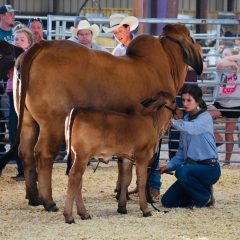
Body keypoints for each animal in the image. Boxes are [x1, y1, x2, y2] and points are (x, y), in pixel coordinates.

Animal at [63, 91, 180, 223]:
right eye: (174, 101)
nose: (180, 112)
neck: (153, 122)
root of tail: (78, 109)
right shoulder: (142, 157)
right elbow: (141, 182)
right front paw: (145, 210)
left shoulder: (126, 158)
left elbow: (125, 180)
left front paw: (122, 207)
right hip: (81, 156)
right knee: (74, 177)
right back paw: (69, 216)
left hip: (75, 155)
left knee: (78, 181)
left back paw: (84, 213)